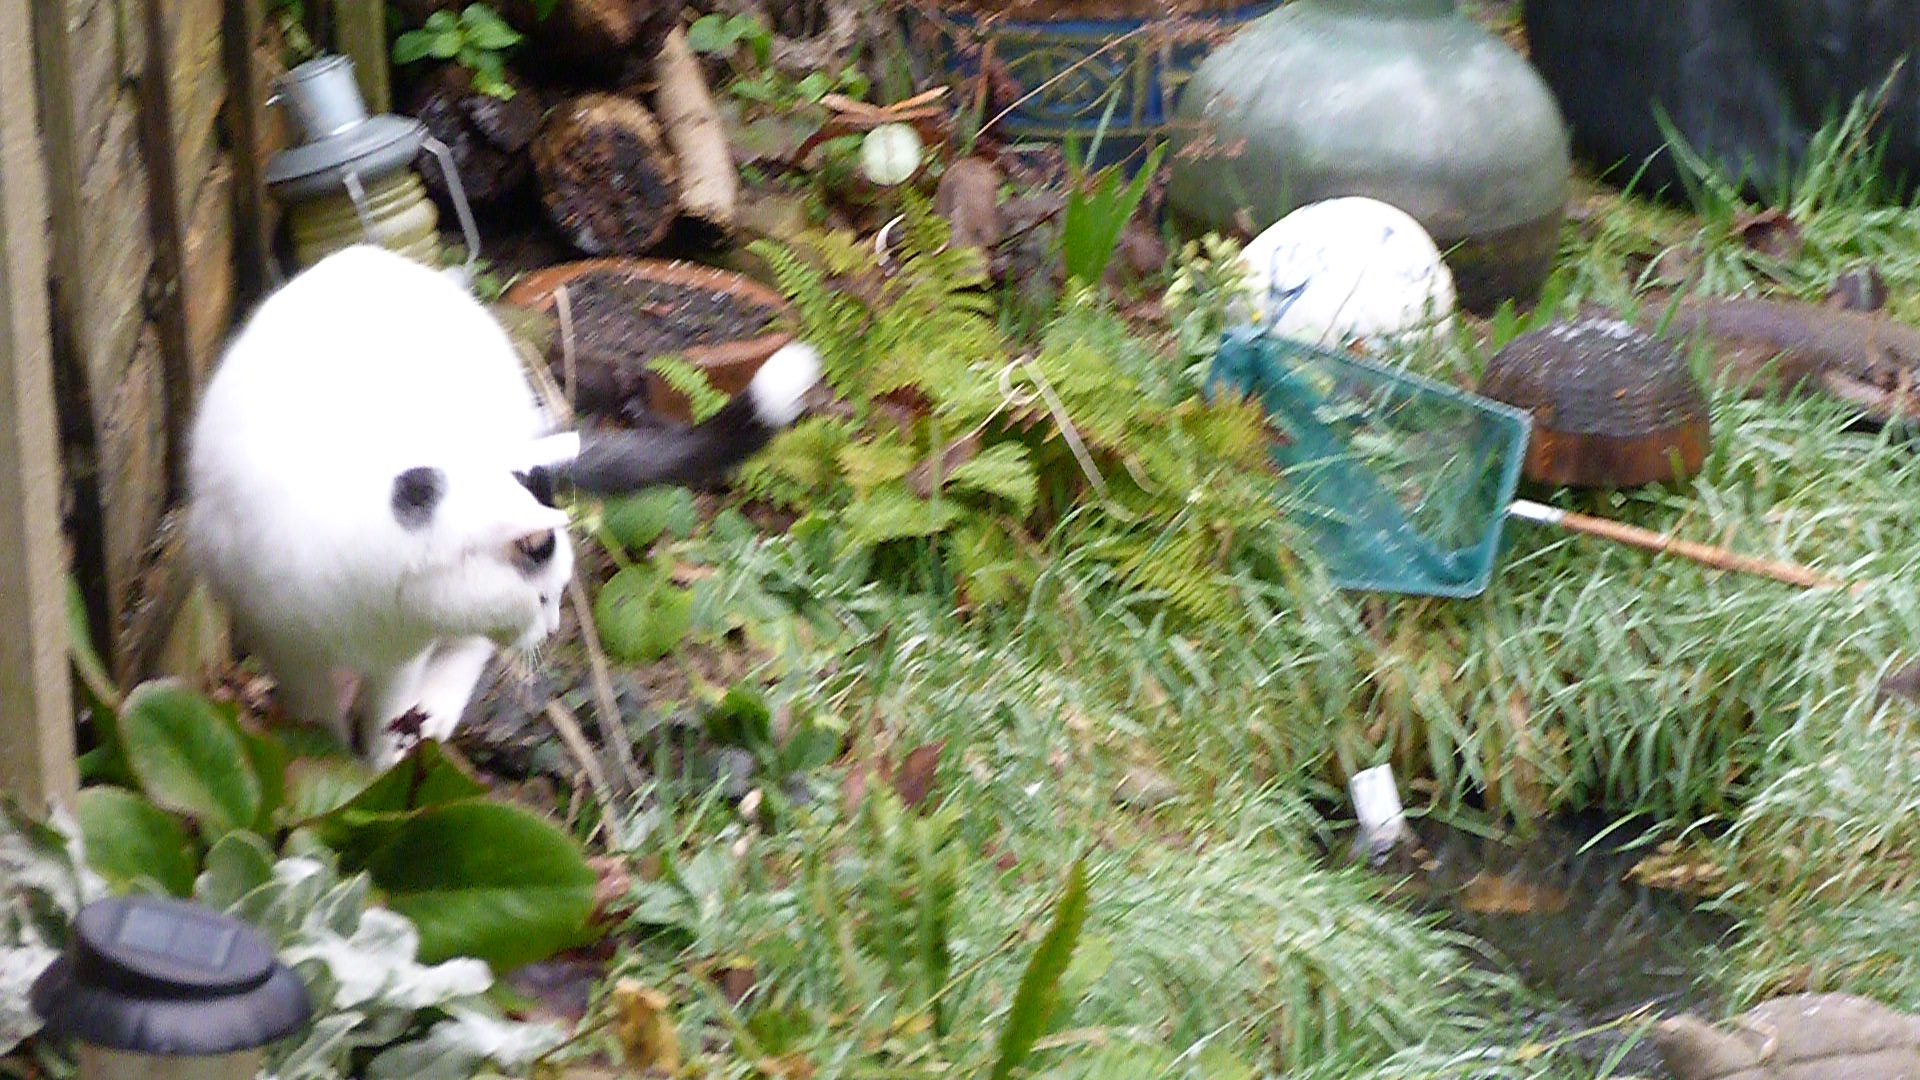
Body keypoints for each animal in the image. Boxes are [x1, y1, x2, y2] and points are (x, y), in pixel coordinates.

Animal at [186, 244, 820, 765]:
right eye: (541, 597)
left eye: (557, 595)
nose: (555, 623)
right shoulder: (284, 647)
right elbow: (317, 716)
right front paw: (329, 763)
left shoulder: (398, 661)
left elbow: (385, 716)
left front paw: (377, 771)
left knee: (468, 650)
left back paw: (436, 712)